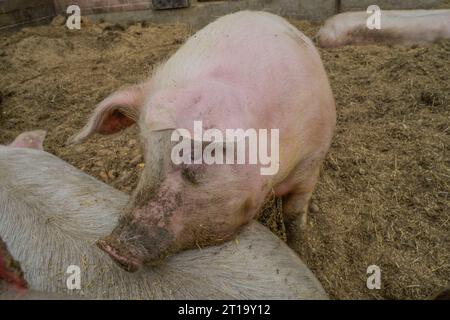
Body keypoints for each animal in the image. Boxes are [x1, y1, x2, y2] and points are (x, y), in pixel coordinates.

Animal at [68, 10, 336, 272]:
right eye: (145, 148)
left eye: (194, 154)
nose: (111, 247)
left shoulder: (312, 160)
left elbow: (294, 215)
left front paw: (301, 254)